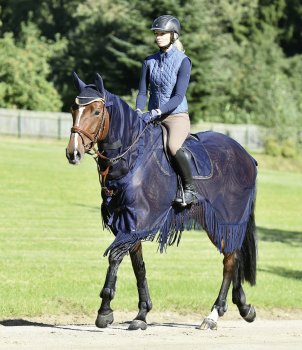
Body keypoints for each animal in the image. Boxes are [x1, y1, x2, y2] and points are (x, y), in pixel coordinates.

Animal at [65, 72, 258, 330]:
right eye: (73, 108)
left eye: (96, 111)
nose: (73, 153)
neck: (132, 159)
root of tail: (246, 156)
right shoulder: (126, 222)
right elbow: (138, 266)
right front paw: (141, 314)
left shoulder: (138, 221)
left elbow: (115, 257)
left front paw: (105, 311)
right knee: (235, 258)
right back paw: (244, 307)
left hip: (228, 220)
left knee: (230, 261)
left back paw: (213, 315)